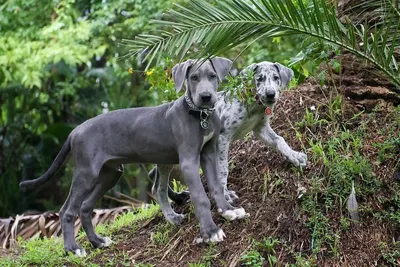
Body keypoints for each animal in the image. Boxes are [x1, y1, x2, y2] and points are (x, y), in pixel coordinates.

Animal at [20, 57, 248, 258]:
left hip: (110, 174)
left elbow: (216, 186)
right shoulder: (188, 162)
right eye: (193, 78)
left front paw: (229, 211)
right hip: (87, 173)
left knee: (85, 208)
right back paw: (72, 249)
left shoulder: (208, 153)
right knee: (67, 210)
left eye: (212, 76)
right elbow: (201, 196)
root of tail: (75, 131)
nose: (206, 97)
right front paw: (210, 232)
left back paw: (98, 241)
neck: (199, 115)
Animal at [152, 60, 308, 203]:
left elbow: (279, 140)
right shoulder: (222, 138)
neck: (252, 105)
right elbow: (222, 168)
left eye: (276, 78)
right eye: (259, 78)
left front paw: (294, 156)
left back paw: (178, 198)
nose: (271, 94)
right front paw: (224, 194)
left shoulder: (261, 129)